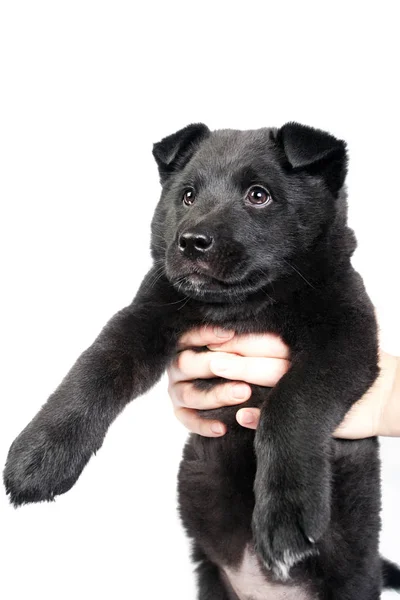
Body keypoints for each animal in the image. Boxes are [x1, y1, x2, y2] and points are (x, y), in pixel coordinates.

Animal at [3, 124, 400, 596]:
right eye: (188, 196)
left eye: (259, 195)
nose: (191, 242)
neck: (244, 306)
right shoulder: (148, 312)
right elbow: (100, 362)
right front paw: (40, 456)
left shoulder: (346, 337)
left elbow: (292, 402)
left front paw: (287, 517)